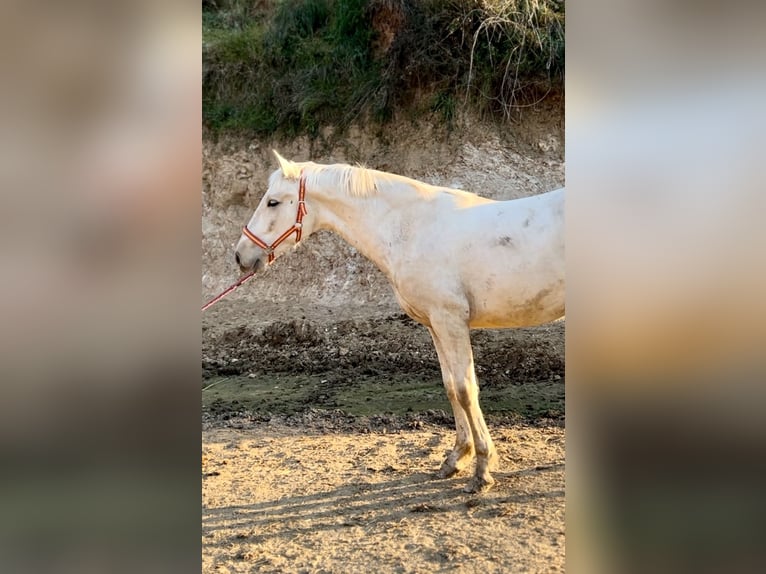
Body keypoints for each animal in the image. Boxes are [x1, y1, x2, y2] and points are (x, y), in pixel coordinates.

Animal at [234, 151, 564, 492]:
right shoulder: (435, 326)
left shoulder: (450, 321)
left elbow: (465, 390)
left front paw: (483, 467)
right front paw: (456, 458)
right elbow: (450, 387)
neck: (413, 228)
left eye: (273, 202)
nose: (241, 256)